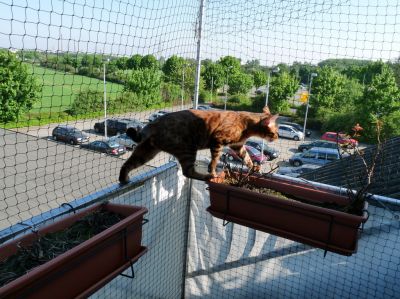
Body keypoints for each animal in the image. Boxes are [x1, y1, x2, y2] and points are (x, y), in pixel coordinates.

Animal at [119, 106, 278, 184]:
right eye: (275, 131)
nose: (277, 137)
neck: (246, 124)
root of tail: (153, 123)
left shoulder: (238, 146)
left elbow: (247, 158)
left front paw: (254, 168)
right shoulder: (217, 141)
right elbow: (215, 160)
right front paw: (213, 172)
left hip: (147, 151)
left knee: (128, 164)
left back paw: (123, 179)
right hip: (188, 149)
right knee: (187, 172)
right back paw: (207, 177)